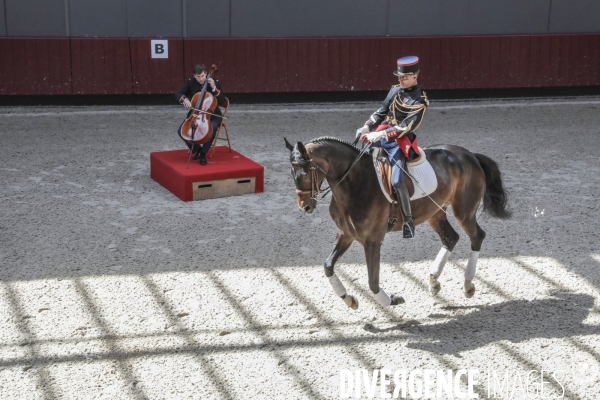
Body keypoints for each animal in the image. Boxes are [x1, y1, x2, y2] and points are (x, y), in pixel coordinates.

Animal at [284, 138, 508, 310]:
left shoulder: (372, 240)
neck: (354, 183)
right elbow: (328, 266)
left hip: (463, 211)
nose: (304, 207)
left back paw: (468, 285)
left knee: (476, 236)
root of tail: (470, 155)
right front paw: (350, 300)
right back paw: (434, 282)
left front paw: (392, 300)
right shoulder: (346, 233)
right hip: (434, 213)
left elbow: (372, 282)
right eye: (291, 173)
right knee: (450, 238)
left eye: (305, 173)